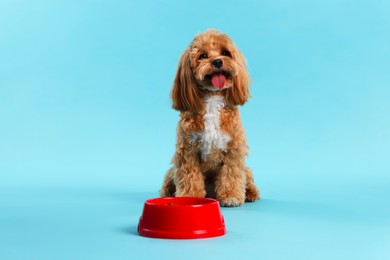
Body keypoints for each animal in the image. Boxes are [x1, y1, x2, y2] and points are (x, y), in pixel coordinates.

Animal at [160, 29, 260, 207]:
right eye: (203, 56)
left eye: (225, 53)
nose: (218, 61)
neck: (213, 97)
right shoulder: (187, 151)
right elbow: (190, 176)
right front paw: (189, 196)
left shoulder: (233, 149)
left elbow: (231, 173)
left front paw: (230, 196)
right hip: (172, 170)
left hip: (246, 170)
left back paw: (250, 193)